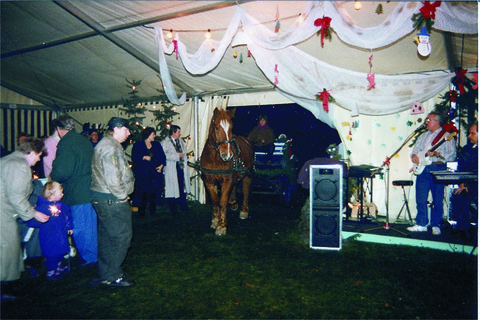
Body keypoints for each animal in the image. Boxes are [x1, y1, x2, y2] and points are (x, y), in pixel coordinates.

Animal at [200, 107, 255, 235]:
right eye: (216, 127)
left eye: (231, 128)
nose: (228, 155)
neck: (215, 159)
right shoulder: (209, 182)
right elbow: (215, 201)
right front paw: (215, 221)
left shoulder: (227, 181)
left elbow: (222, 202)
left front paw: (221, 225)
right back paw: (233, 202)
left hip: (248, 174)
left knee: (245, 190)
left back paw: (244, 210)